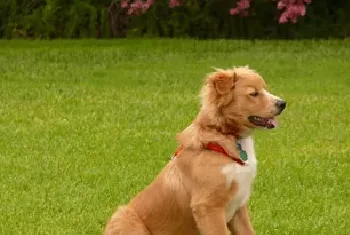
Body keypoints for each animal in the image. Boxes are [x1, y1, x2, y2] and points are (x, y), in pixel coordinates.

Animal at [104, 65, 288, 234]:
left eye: (264, 89)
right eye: (254, 93)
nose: (283, 103)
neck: (223, 135)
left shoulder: (239, 206)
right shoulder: (208, 206)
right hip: (124, 216)